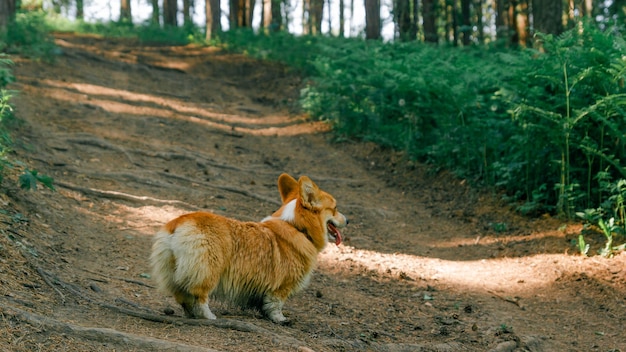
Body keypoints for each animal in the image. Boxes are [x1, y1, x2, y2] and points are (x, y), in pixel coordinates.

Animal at [151, 173, 346, 324]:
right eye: (335, 209)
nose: (348, 220)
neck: (297, 226)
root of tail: (178, 223)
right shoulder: (282, 286)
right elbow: (275, 304)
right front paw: (280, 319)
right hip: (209, 269)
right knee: (199, 295)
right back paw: (208, 315)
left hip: (174, 269)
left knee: (182, 295)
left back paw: (190, 314)